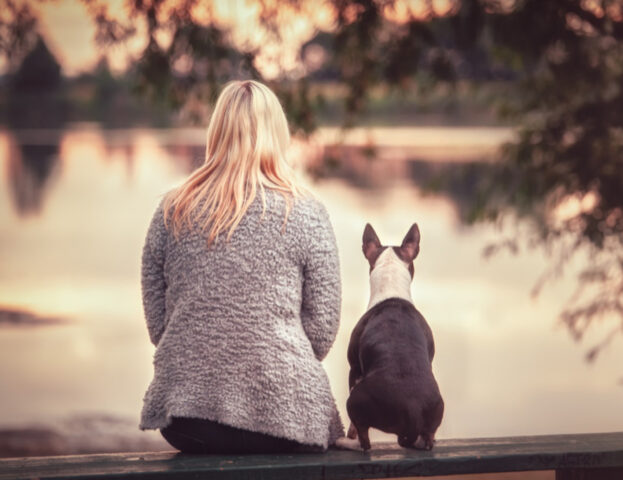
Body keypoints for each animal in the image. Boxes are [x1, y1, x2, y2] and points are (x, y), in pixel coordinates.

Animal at [338, 223, 446, 452]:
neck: (392, 290)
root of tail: (412, 410)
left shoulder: (354, 369)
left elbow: (353, 427)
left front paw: (348, 436)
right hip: (436, 410)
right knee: (427, 438)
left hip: (355, 399)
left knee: (364, 440)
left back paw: (345, 443)